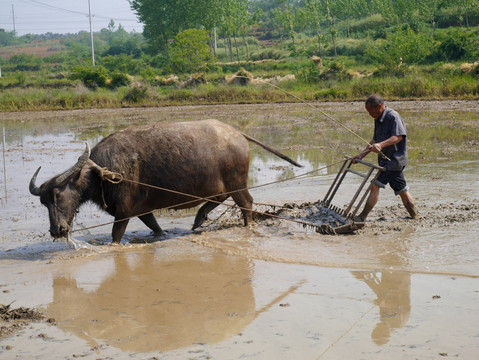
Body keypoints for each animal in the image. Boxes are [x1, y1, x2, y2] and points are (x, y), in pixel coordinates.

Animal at [30, 119, 302, 243]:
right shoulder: (142, 210)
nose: (57, 230)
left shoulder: (124, 212)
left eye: (58, 195)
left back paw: (245, 226)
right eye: (43, 203)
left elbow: (116, 235)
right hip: (222, 184)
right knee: (220, 198)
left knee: (246, 203)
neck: (104, 172)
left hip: (238, 183)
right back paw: (199, 218)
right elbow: (154, 226)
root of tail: (236, 133)